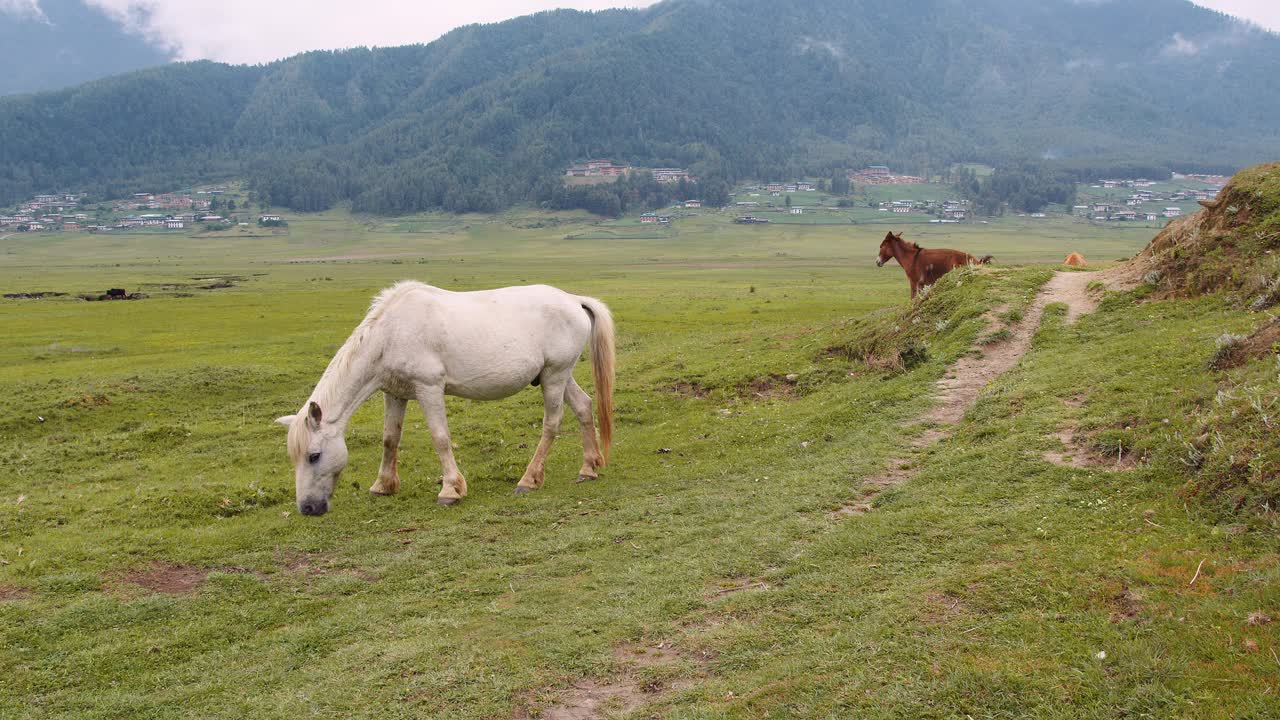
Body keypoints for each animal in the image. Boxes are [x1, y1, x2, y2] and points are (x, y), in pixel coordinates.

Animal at [277, 278, 616, 512]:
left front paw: (451, 490)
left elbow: (440, 437)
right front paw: (383, 485)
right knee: (584, 407)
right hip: (556, 375)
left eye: (314, 455)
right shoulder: (394, 393)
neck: (390, 334)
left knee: (552, 423)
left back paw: (529, 480)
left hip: (555, 376)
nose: (307, 508)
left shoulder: (429, 388)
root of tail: (574, 300)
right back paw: (588, 468)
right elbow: (390, 439)